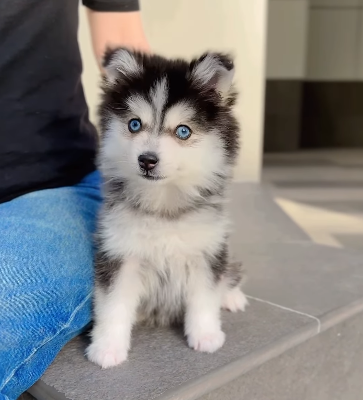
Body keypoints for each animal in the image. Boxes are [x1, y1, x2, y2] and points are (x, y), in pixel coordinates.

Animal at [86, 47, 249, 368]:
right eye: (134, 124)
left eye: (183, 131)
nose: (147, 160)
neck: (163, 204)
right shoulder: (119, 253)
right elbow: (113, 304)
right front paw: (108, 347)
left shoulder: (206, 250)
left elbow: (204, 296)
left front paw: (206, 335)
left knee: (227, 274)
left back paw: (232, 296)